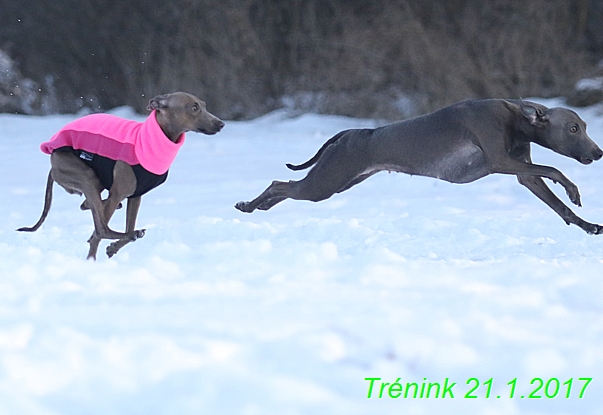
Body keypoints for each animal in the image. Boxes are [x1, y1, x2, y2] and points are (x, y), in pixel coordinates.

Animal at [237, 97, 603, 234]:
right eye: (574, 128)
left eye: (584, 126)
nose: (599, 153)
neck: (516, 118)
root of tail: (347, 134)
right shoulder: (502, 161)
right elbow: (554, 171)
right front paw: (572, 189)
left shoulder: (523, 172)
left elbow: (557, 205)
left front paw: (588, 226)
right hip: (324, 184)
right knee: (279, 184)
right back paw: (249, 205)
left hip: (336, 181)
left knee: (284, 189)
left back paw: (258, 207)